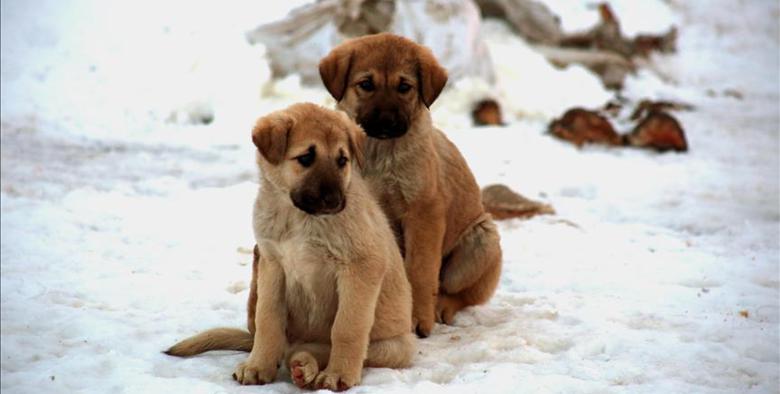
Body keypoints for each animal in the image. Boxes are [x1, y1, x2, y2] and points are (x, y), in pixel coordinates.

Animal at [166, 104, 414, 390]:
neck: (298, 216)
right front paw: (258, 366)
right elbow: (267, 319)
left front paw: (339, 374)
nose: (334, 201)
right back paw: (300, 365)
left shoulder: (360, 267)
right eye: (306, 157)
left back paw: (305, 366)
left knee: (318, 348)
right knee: (289, 347)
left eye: (342, 160)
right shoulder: (272, 265)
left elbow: (346, 327)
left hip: (394, 347)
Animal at [318, 32, 506, 338]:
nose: (386, 122)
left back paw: (441, 307)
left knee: (460, 293)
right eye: (366, 84)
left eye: (404, 87)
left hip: (481, 242)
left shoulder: (423, 212)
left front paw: (417, 318)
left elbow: (419, 271)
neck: (379, 153)